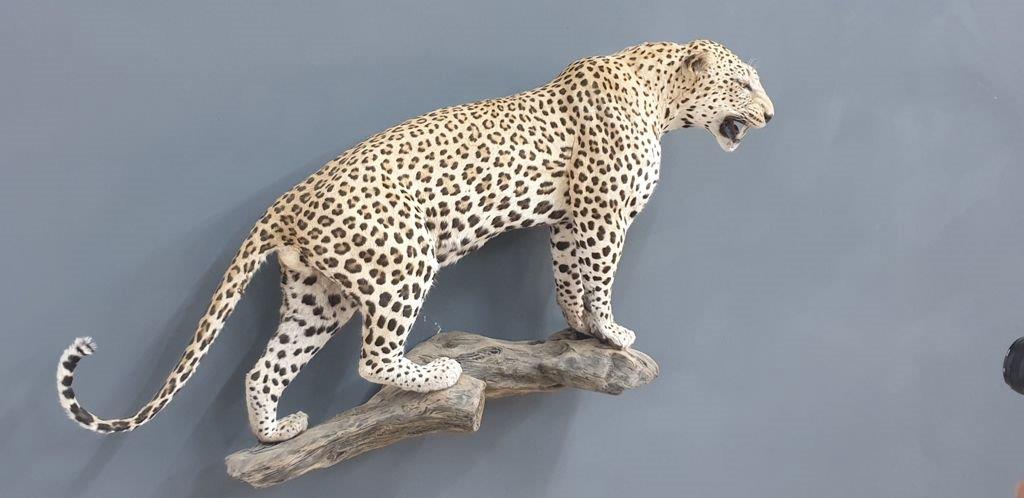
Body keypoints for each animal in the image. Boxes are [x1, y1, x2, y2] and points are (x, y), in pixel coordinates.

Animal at [56, 39, 774, 443]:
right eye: (744, 82)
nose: (770, 114)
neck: (661, 99)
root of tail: (289, 200)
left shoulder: (571, 220)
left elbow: (569, 277)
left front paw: (580, 329)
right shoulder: (600, 214)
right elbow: (598, 278)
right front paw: (611, 332)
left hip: (317, 293)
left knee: (267, 366)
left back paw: (274, 434)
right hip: (403, 260)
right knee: (373, 357)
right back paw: (435, 373)